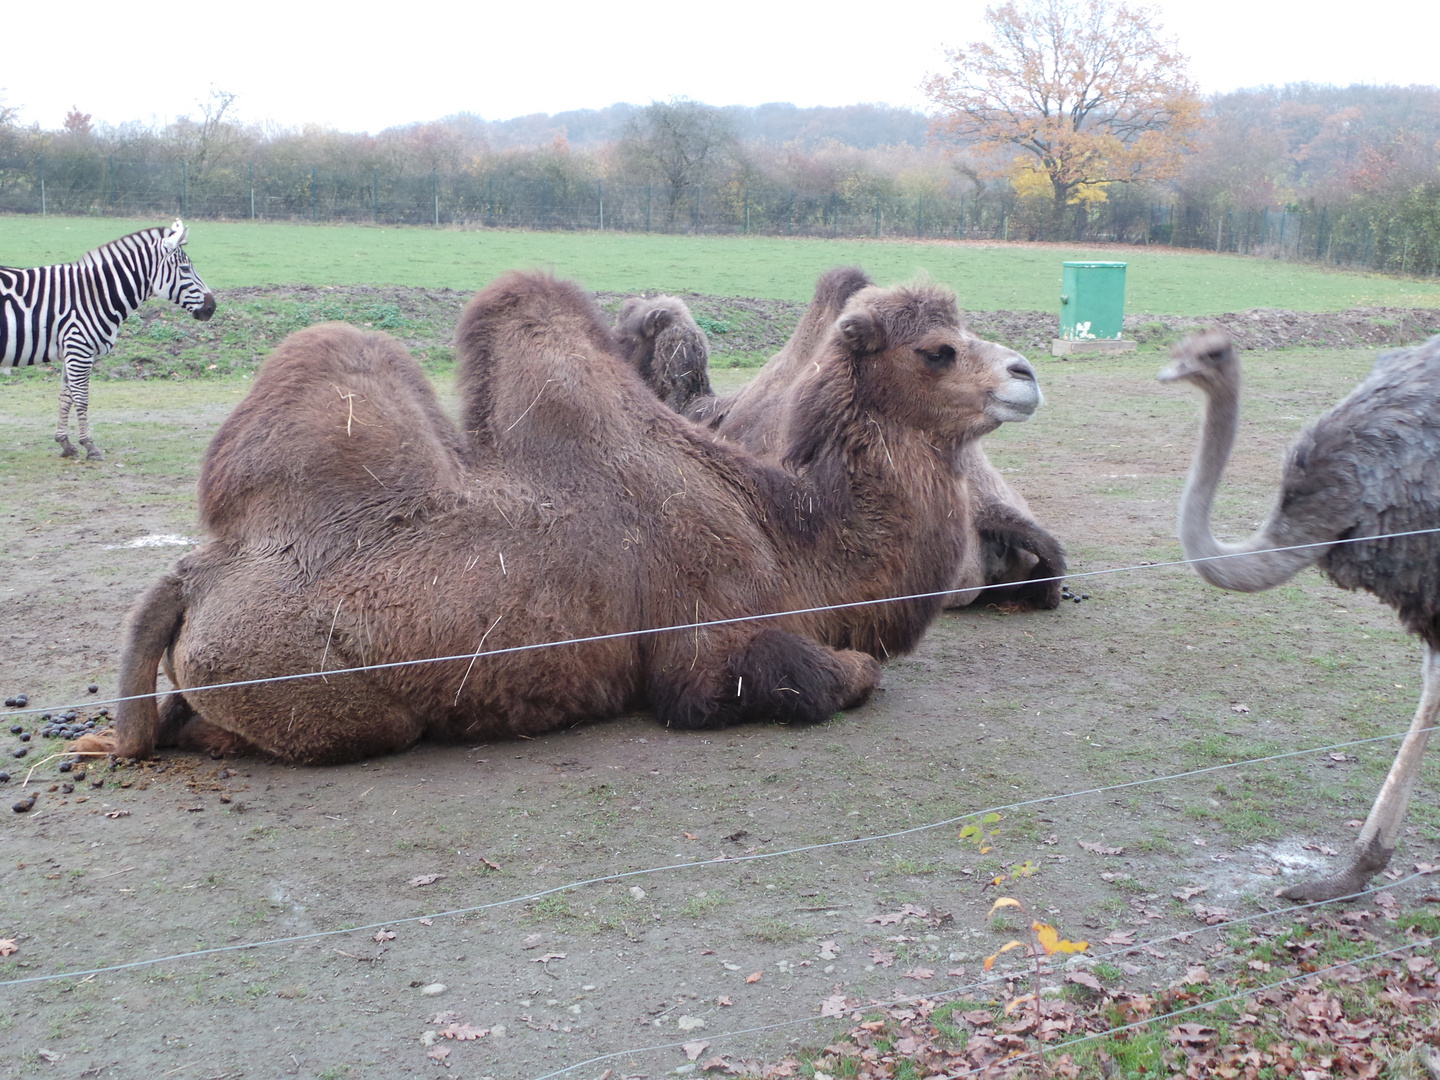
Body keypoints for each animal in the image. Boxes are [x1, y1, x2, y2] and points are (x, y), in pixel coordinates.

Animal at [0, 220, 213, 460]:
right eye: (185, 269)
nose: (212, 308)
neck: (96, 294)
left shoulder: (70, 350)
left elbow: (66, 396)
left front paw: (65, 443)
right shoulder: (80, 348)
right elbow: (81, 397)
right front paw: (89, 445)